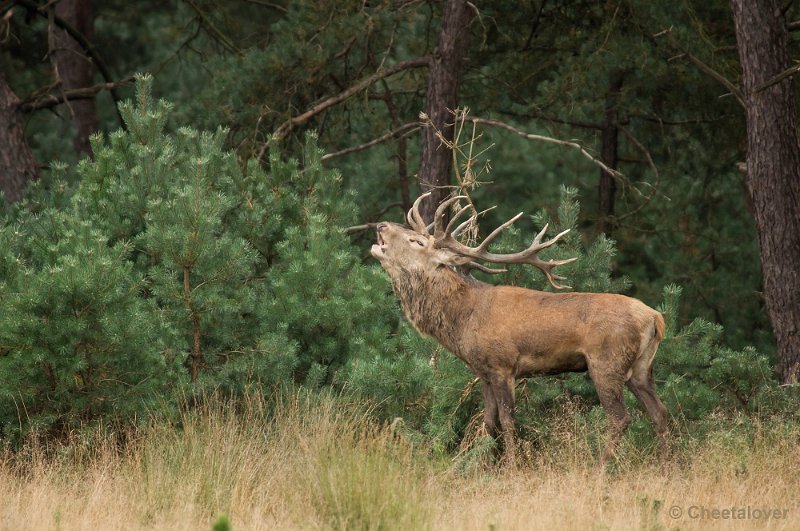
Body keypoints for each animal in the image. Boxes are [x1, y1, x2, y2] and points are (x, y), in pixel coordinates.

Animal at [370, 193, 668, 468]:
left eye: (416, 242)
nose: (381, 225)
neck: (464, 320)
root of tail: (655, 317)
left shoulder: (503, 365)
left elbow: (507, 420)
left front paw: (511, 468)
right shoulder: (483, 373)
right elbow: (488, 422)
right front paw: (480, 465)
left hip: (607, 361)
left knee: (621, 418)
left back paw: (599, 469)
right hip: (641, 368)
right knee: (660, 412)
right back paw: (665, 465)